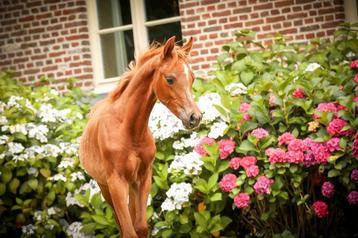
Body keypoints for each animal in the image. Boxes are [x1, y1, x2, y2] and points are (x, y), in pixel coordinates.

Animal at [79, 36, 201, 237]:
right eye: (169, 79)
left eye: (192, 78)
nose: (195, 117)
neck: (129, 131)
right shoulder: (116, 182)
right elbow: (129, 232)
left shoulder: (143, 177)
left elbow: (141, 227)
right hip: (105, 187)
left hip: (131, 186)